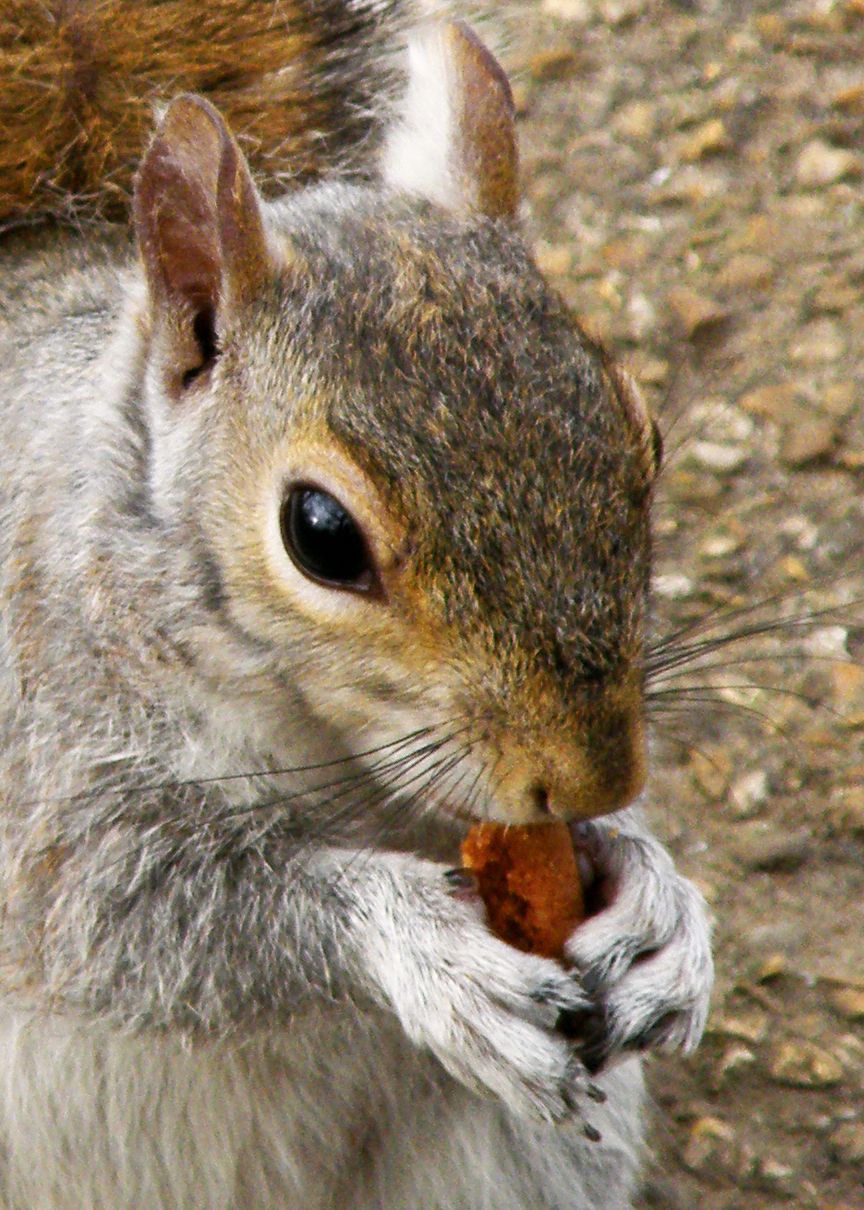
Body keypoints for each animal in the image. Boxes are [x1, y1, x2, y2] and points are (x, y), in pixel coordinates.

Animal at [0, 2, 711, 1210]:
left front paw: (660, 902)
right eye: (320, 535)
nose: (594, 776)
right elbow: (134, 916)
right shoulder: (34, 783)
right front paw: (420, 942)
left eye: (643, 435)